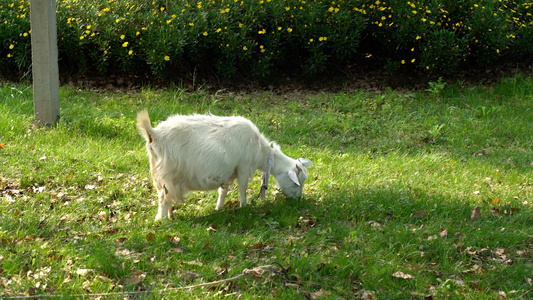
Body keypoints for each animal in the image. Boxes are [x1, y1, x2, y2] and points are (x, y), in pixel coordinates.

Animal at [137, 110, 312, 220]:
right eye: (296, 181)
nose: (298, 200)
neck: (262, 153)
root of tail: (153, 134)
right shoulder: (243, 166)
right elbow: (243, 187)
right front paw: (244, 206)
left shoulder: (228, 172)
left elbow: (223, 191)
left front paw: (218, 208)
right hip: (168, 173)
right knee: (163, 197)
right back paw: (164, 219)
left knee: (166, 196)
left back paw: (170, 214)